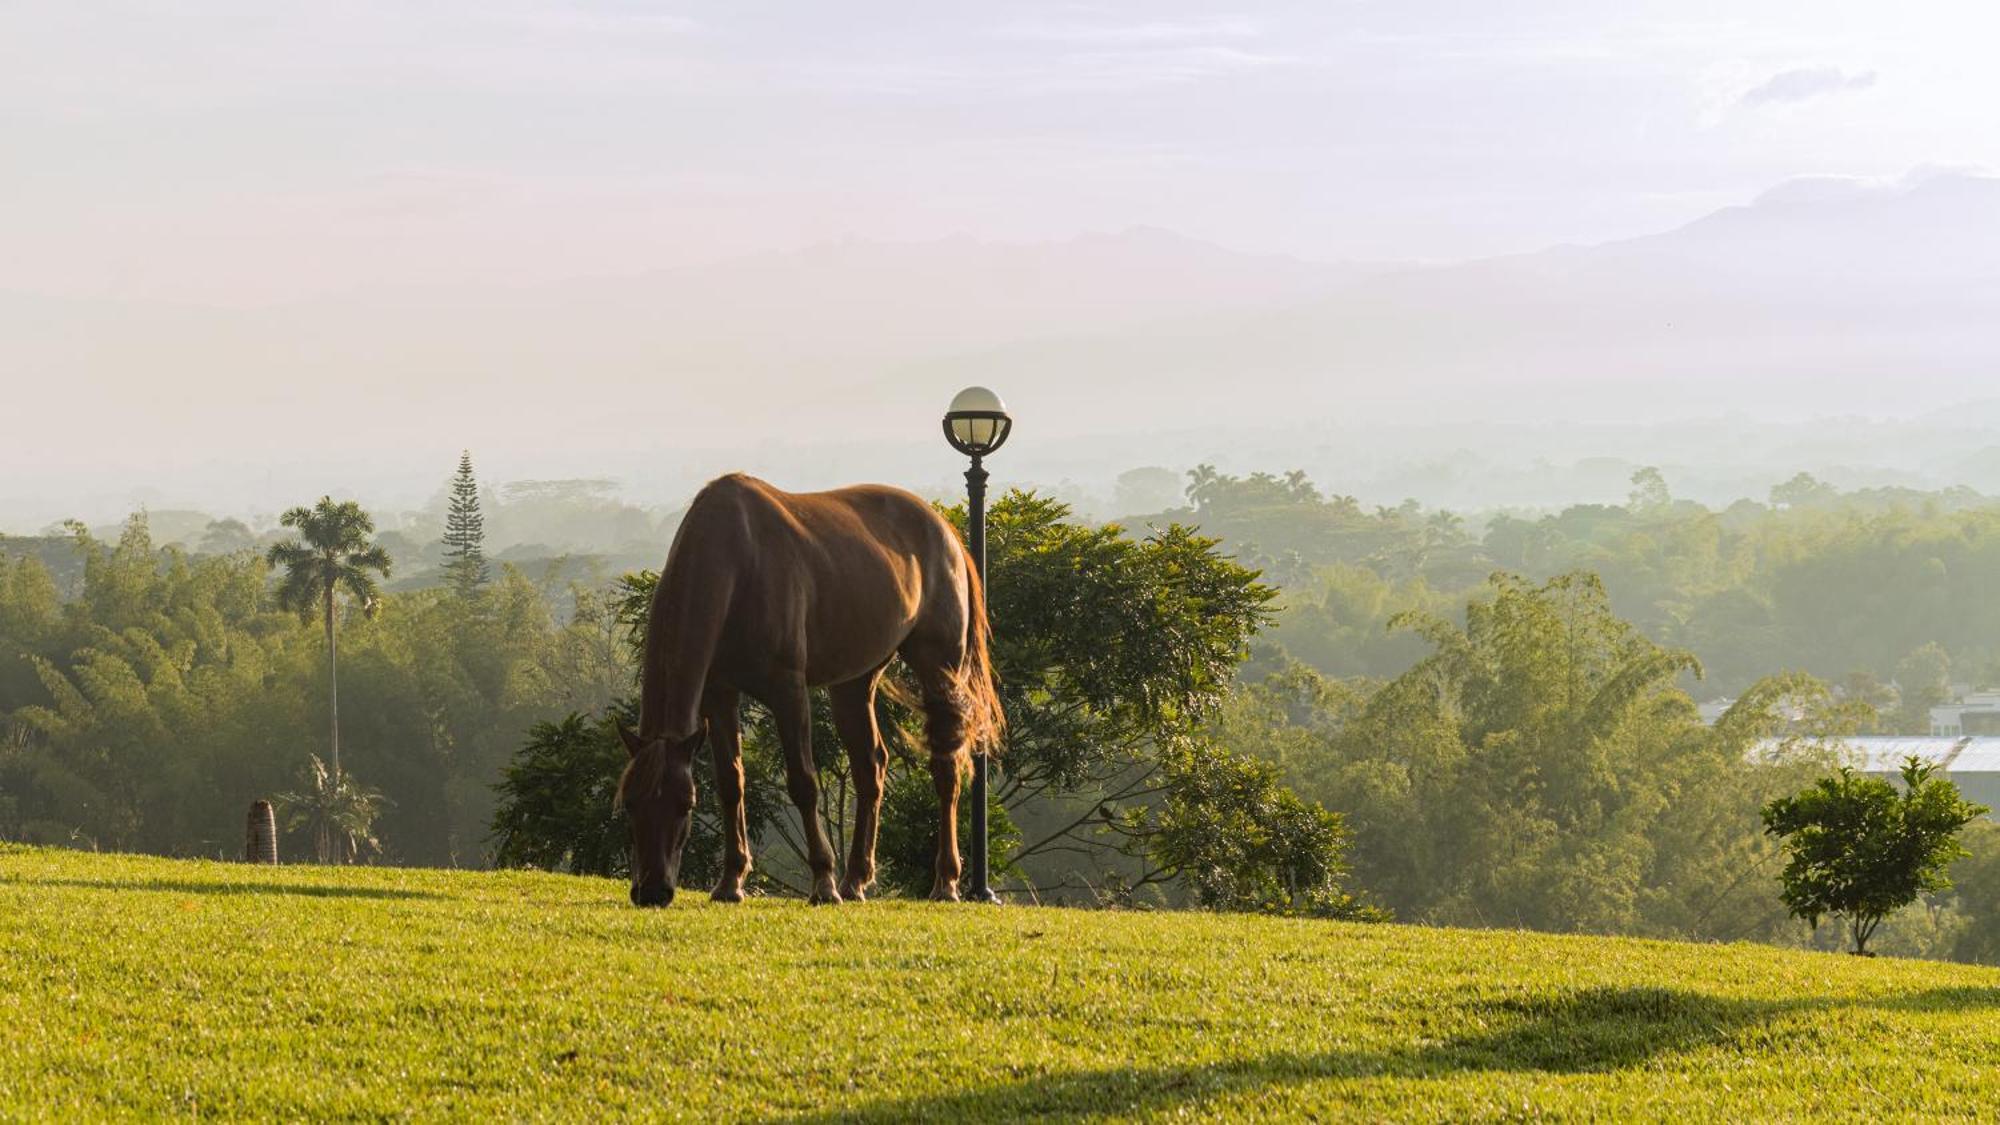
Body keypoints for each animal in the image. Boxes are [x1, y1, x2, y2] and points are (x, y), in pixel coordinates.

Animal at [612, 470, 1000, 900]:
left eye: (686, 804)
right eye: (629, 803)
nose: (652, 890)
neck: (738, 559)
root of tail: (945, 531)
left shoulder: (788, 692)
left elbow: (803, 782)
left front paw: (823, 881)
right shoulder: (718, 694)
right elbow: (731, 782)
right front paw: (731, 881)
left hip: (939, 668)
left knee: (945, 765)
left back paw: (944, 881)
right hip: (854, 682)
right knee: (870, 766)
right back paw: (855, 879)